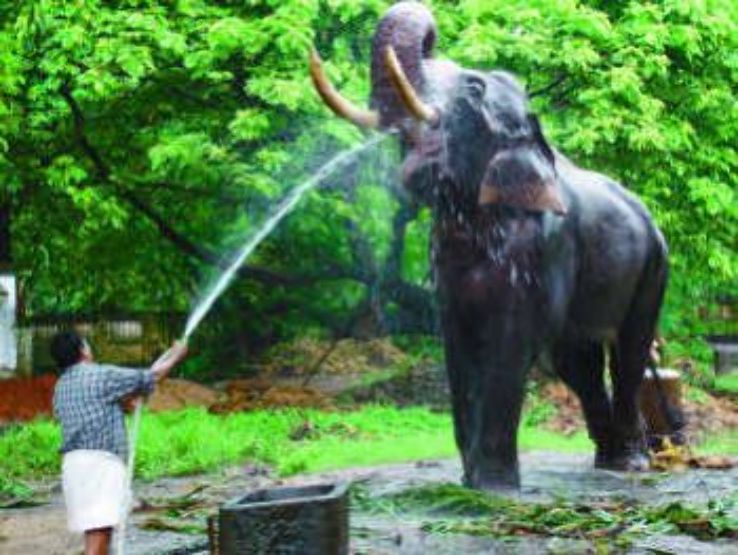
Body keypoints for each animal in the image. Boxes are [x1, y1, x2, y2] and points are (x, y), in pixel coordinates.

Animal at [310, 1, 668, 490]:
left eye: (473, 89)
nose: (431, 36)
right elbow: (457, 346)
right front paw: (470, 482)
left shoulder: (544, 248)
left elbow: (510, 342)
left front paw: (494, 487)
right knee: (577, 365)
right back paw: (608, 461)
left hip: (653, 268)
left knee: (628, 354)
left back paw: (630, 464)